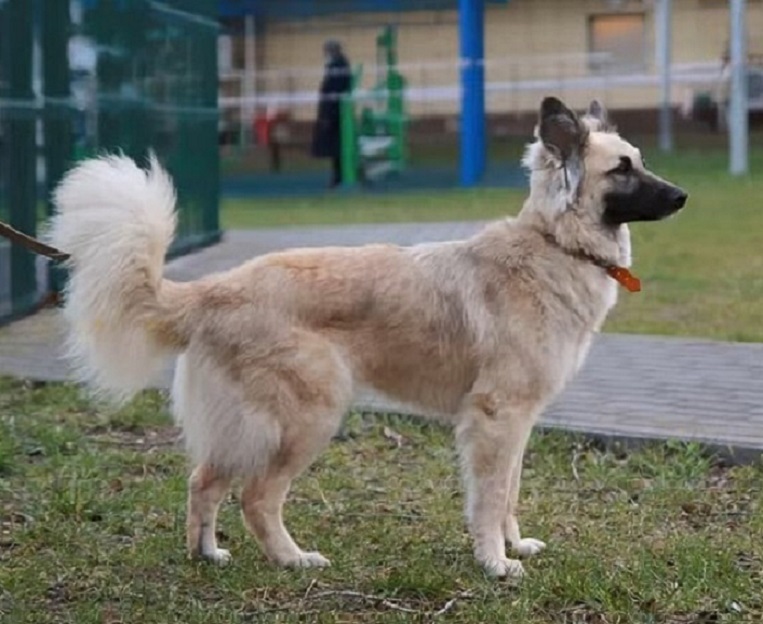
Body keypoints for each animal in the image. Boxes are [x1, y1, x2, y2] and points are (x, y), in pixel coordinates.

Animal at [50, 97, 688, 580]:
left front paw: (515, 545)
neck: (555, 244)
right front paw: (494, 563)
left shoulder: (520, 422)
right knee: (256, 498)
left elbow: (507, 493)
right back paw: (293, 559)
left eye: (640, 161)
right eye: (622, 168)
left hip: (251, 427)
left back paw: (206, 554)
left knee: (203, 482)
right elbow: (488, 498)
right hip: (307, 417)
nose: (683, 197)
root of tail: (210, 291)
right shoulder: (496, 418)